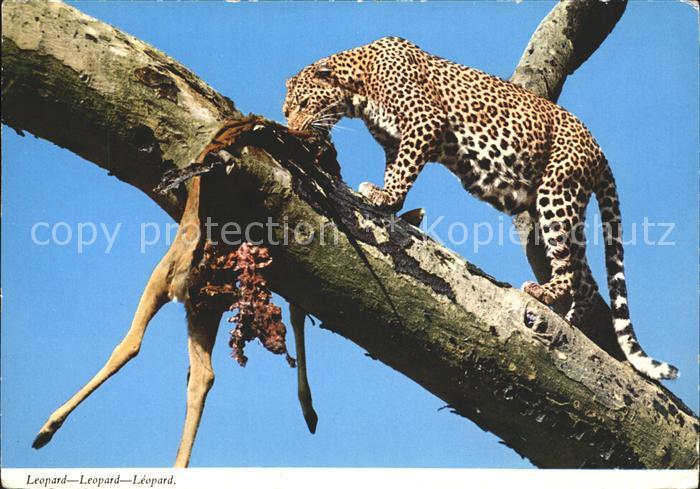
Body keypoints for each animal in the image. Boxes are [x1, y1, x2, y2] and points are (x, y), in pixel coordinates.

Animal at [282, 36, 678, 380]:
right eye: (287, 110)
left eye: (302, 105)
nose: (291, 128)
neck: (358, 87)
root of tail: (597, 149)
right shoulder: (395, 140)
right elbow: (397, 167)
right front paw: (386, 194)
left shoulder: (425, 122)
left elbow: (405, 169)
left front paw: (385, 197)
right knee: (587, 279)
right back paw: (570, 318)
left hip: (557, 192)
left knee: (569, 267)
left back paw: (546, 294)